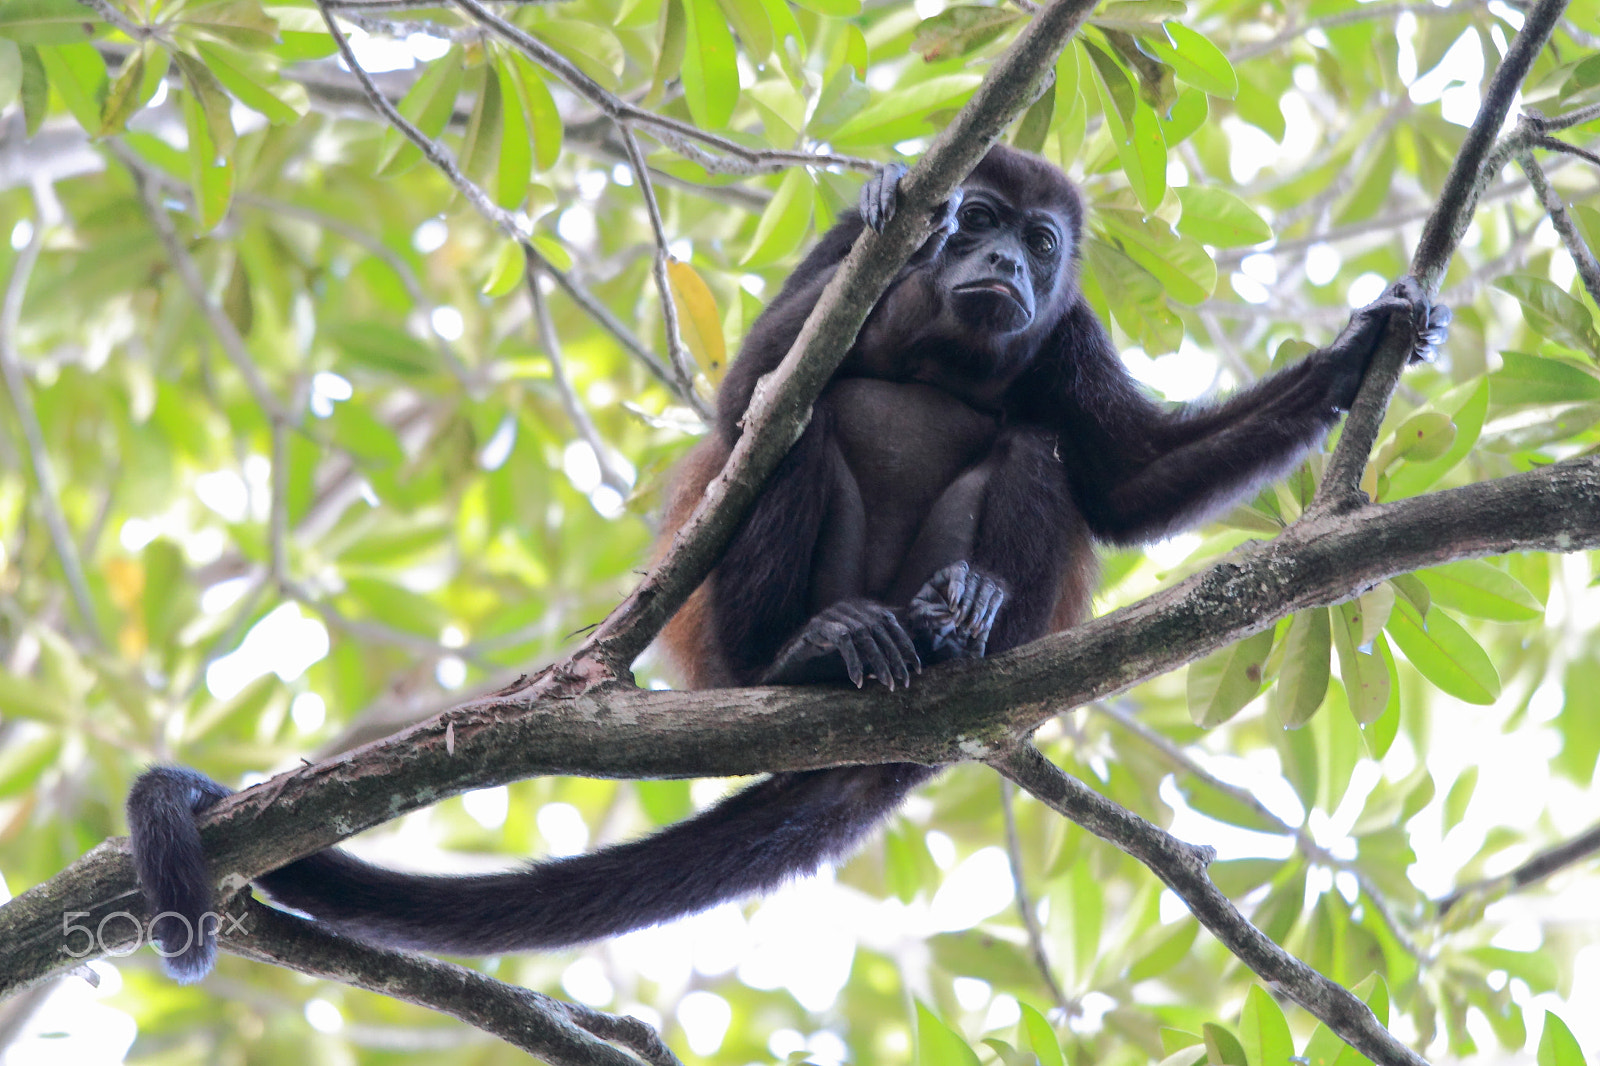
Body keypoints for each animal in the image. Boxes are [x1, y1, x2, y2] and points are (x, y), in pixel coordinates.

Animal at [126, 145, 1449, 983]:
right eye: (978, 221)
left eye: (1042, 242)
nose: (1007, 267)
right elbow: (749, 394)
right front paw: (888, 200)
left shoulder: (1068, 328)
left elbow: (1128, 484)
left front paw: (1357, 351)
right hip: (719, 634)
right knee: (798, 435)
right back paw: (808, 655)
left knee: (1031, 450)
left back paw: (961, 625)